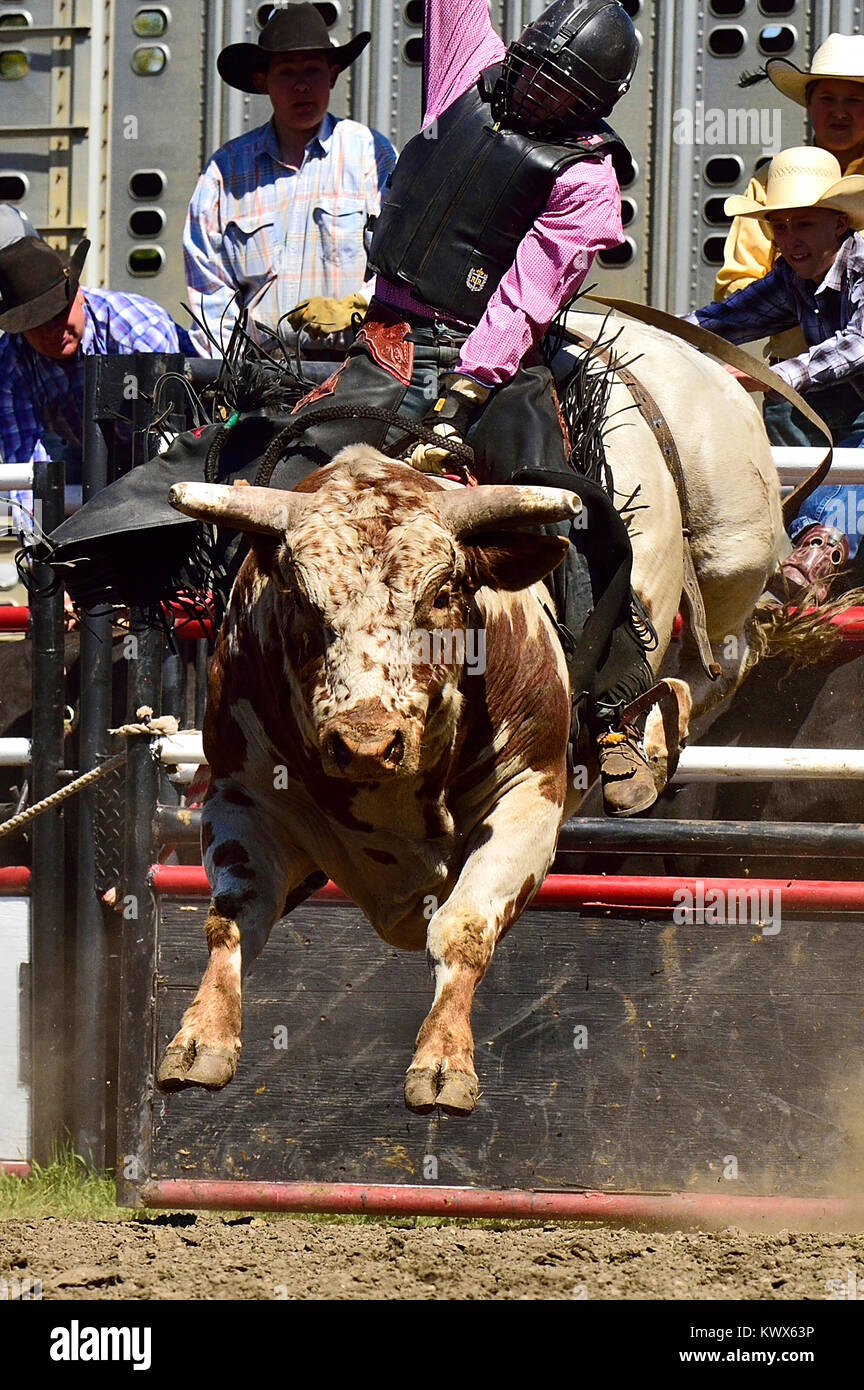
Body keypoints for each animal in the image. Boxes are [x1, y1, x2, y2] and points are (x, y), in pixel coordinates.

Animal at [155, 318, 794, 1117]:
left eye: (442, 592)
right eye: (300, 598)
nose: (366, 743)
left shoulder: (529, 797)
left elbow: (462, 929)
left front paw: (443, 1061)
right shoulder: (242, 795)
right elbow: (230, 915)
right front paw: (198, 1041)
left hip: (734, 546)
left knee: (722, 657)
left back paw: (648, 742)